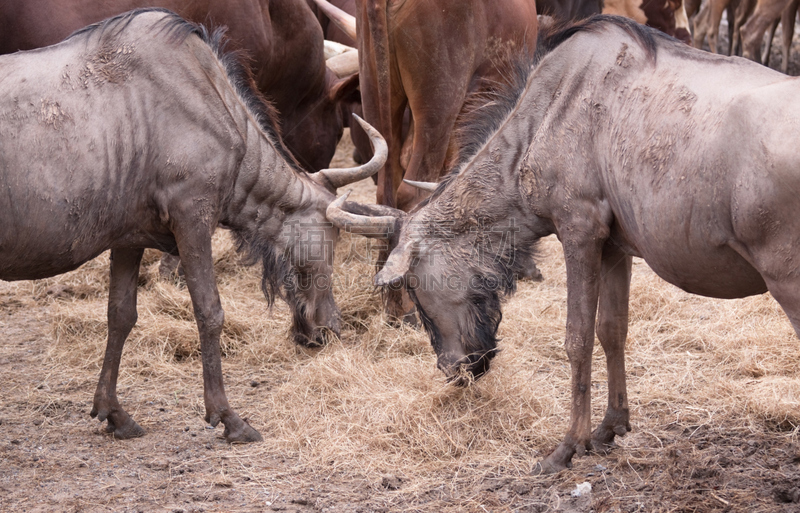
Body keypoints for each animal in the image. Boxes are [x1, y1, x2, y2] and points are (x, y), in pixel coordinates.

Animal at [332, 15, 800, 472]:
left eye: (411, 287)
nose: (453, 371)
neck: (545, 117)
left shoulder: (579, 231)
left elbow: (578, 338)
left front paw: (569, 446)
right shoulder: (614, 247)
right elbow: (612, 330)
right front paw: (611, 426)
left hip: (787, 284)